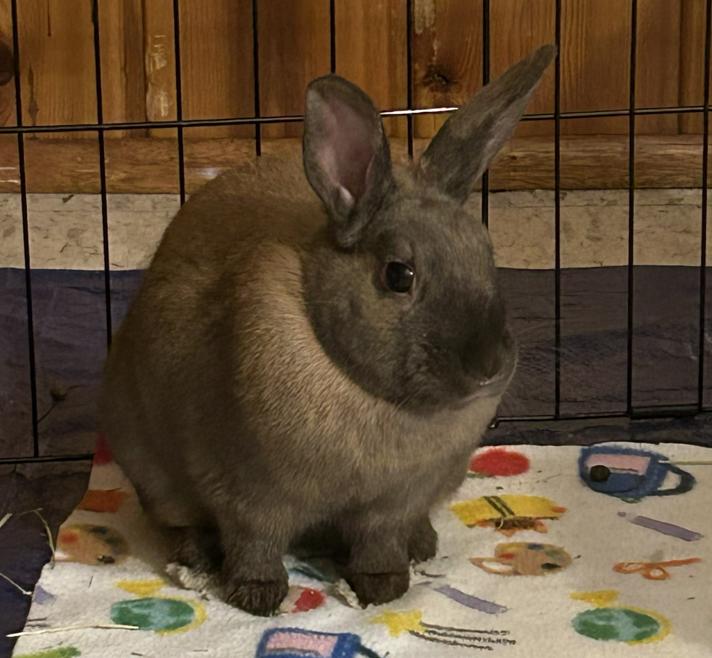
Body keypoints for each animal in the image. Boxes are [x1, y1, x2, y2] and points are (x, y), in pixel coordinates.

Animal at [100, 44, 555, 616]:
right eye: (398, 275)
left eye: (487, 256)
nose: (489, 368)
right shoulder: (249, 493)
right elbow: (255, 541)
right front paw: (257, 596)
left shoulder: (391, 505)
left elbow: (379, 542)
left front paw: (384, 585)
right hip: (154, 471)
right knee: (183, 522)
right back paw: (199, 559)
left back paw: (422, 545)